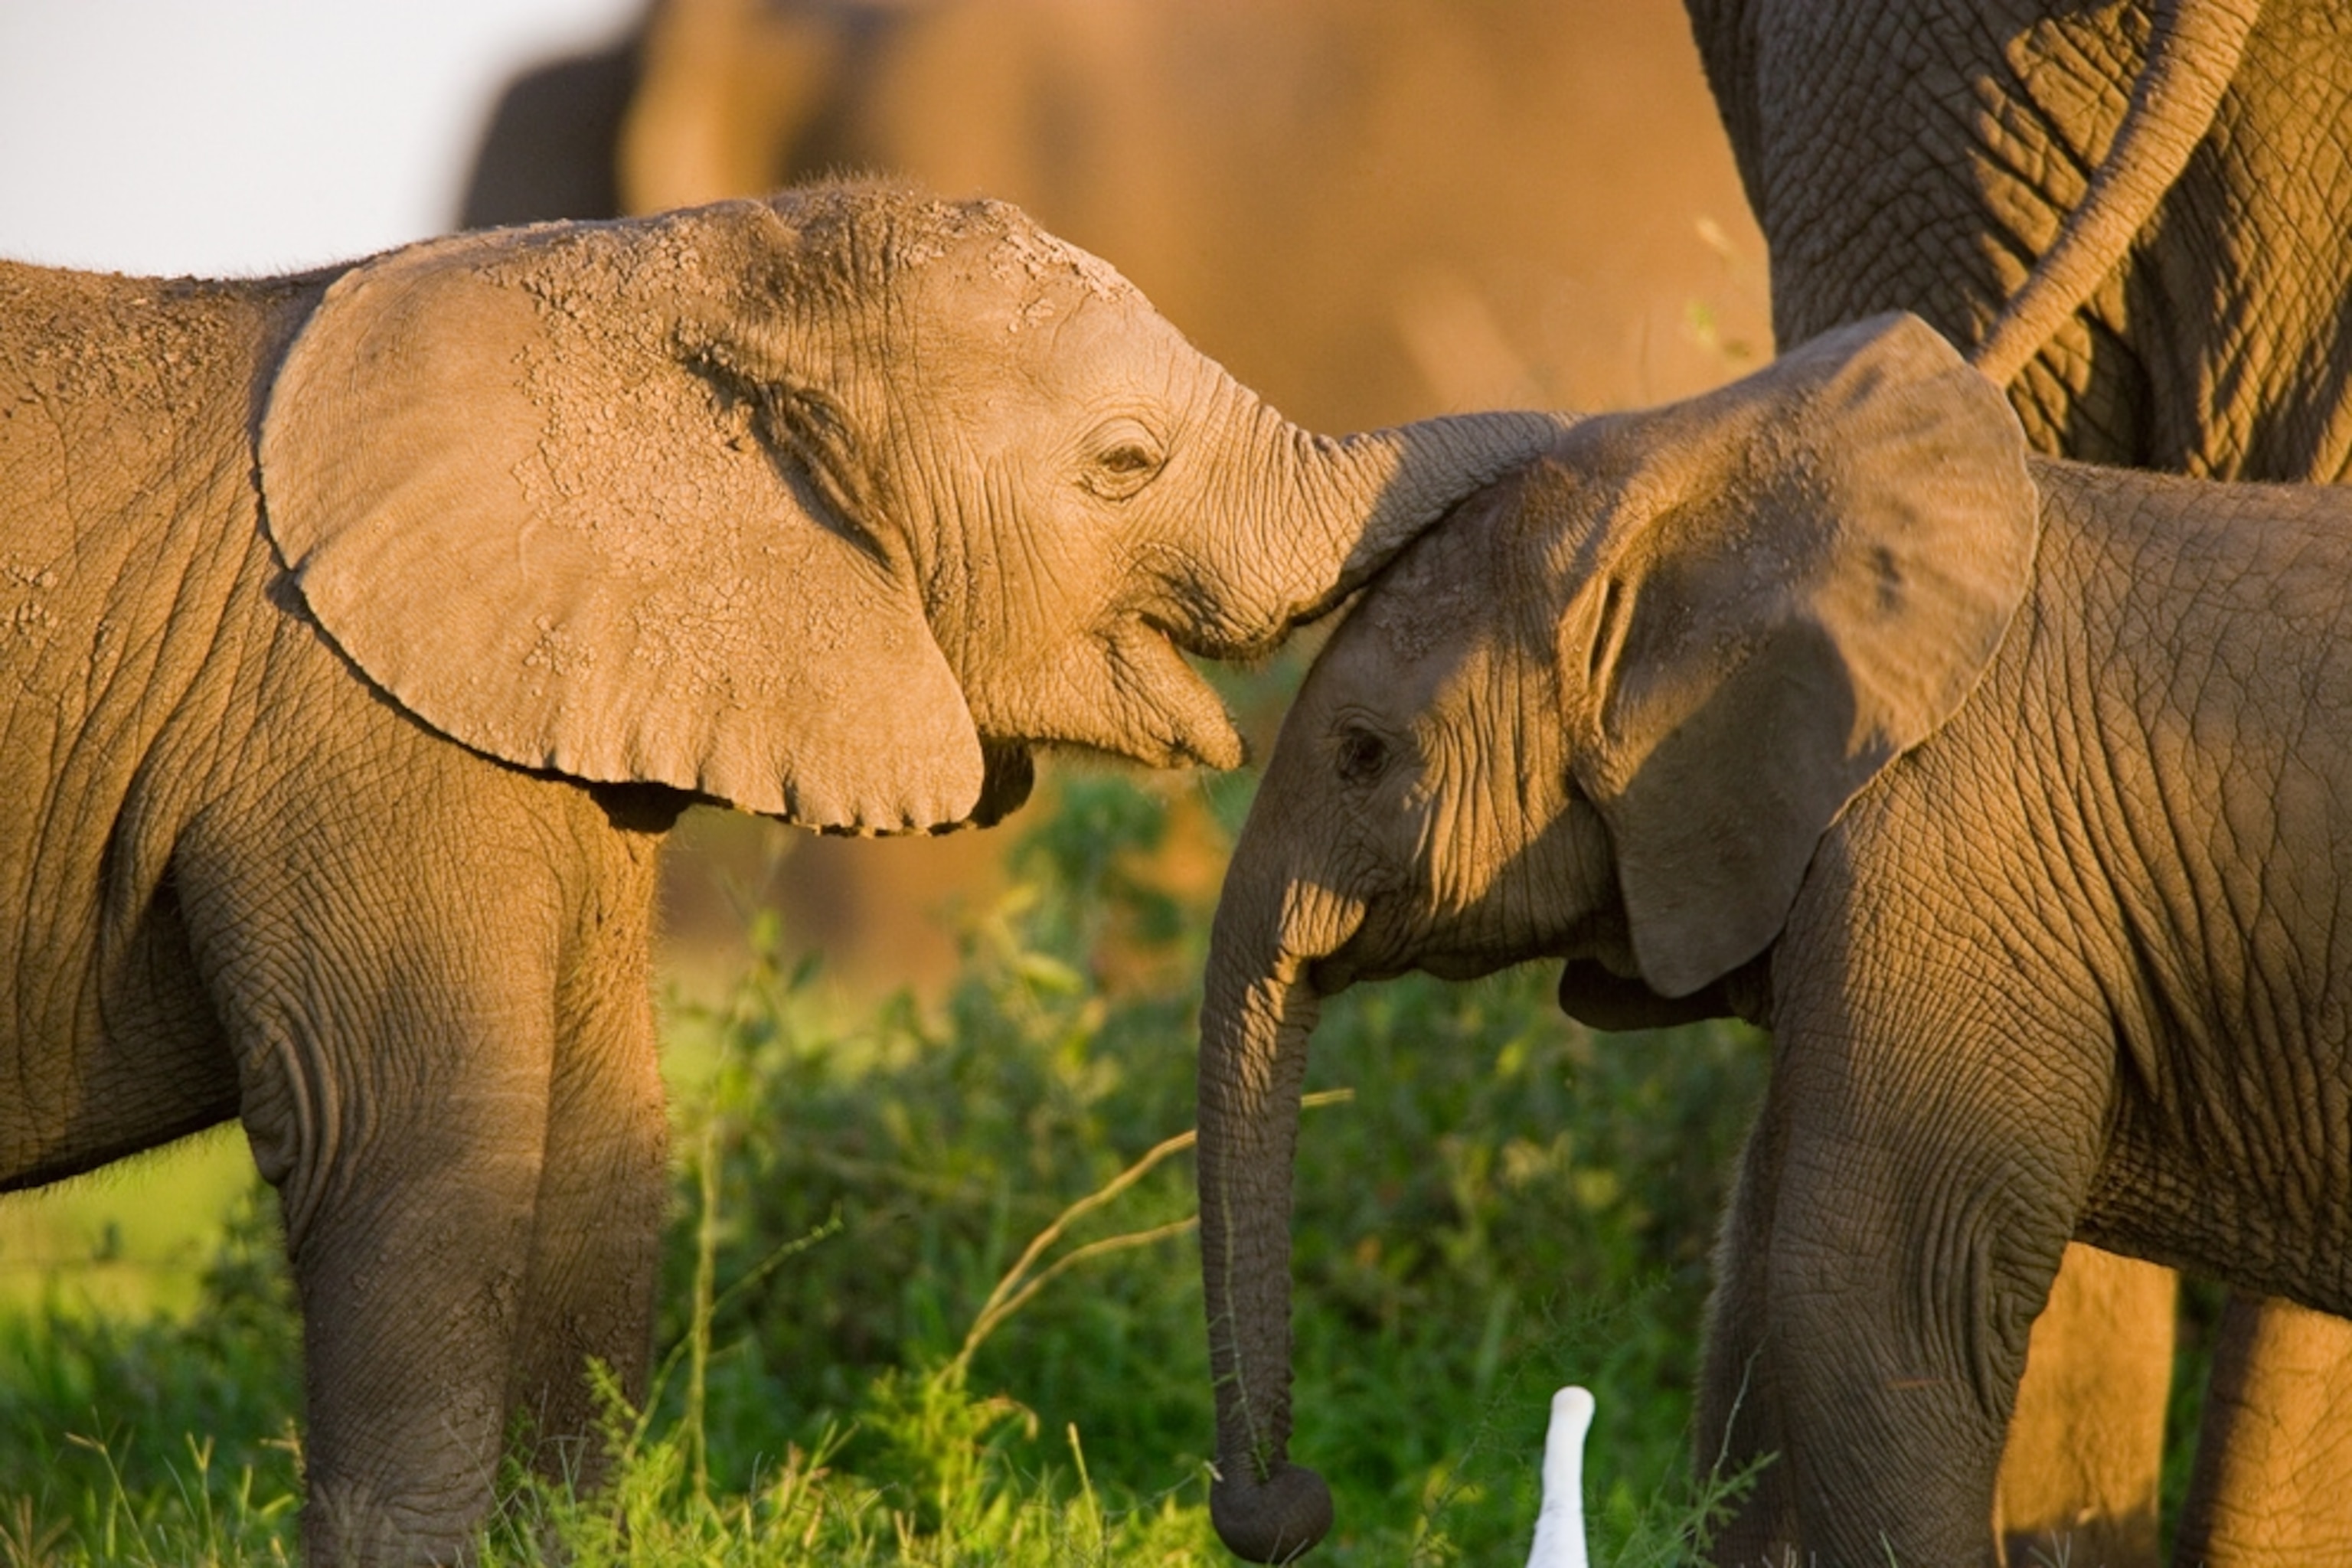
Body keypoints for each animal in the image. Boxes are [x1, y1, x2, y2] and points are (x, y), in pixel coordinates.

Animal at [0, 181, 1573, 1564]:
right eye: (1124, 462)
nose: (1278, 1505)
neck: (650, 273)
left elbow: (604, 1156)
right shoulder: (354, 733)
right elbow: (417, 1145)